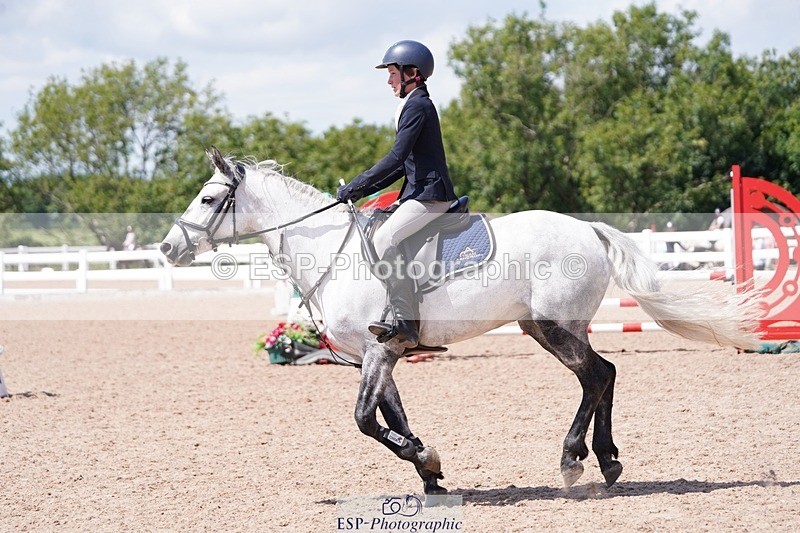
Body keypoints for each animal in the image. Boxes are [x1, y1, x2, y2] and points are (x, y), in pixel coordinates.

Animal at [160, 147, 762, 495]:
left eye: (209, 198)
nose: (168, 248)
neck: (333, 250)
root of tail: (588, 228)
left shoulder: (378, 350)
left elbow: (364, 420)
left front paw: (425, 460)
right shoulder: (381, 354)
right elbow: (393, 415)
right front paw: (428, 468)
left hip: (553, 325)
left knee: (596, 375)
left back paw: (573, 459)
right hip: (549, 327)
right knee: (604, 374)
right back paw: (607, 460)